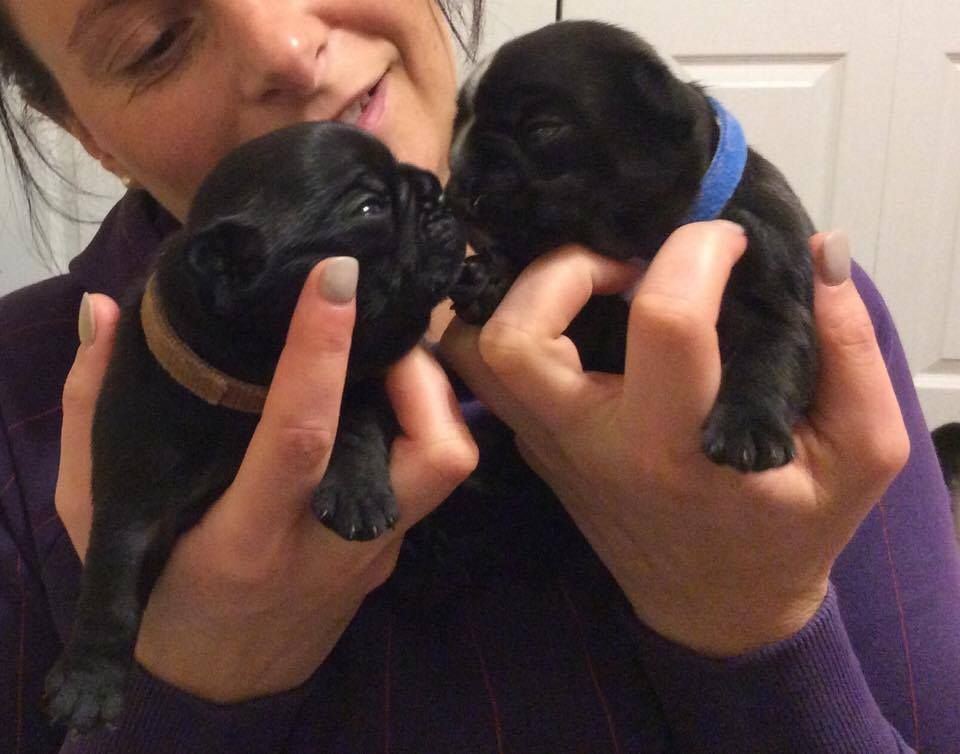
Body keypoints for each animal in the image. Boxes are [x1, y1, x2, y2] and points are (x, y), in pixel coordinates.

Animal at [45, 121, 465, 733]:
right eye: (370, 207)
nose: (436, 192)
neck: (250, 392)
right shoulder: (132, 493)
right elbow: (111, 580)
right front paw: (88, 682)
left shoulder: (363, 372)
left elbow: (355, 414)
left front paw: (357, 490)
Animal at [446, 20, 817, 472]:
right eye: (457, 130)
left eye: (542, 129)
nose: (459, 187)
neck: (648, 243)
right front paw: (488, 278)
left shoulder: (773, 287)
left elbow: (770, 350)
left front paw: (748, 428)